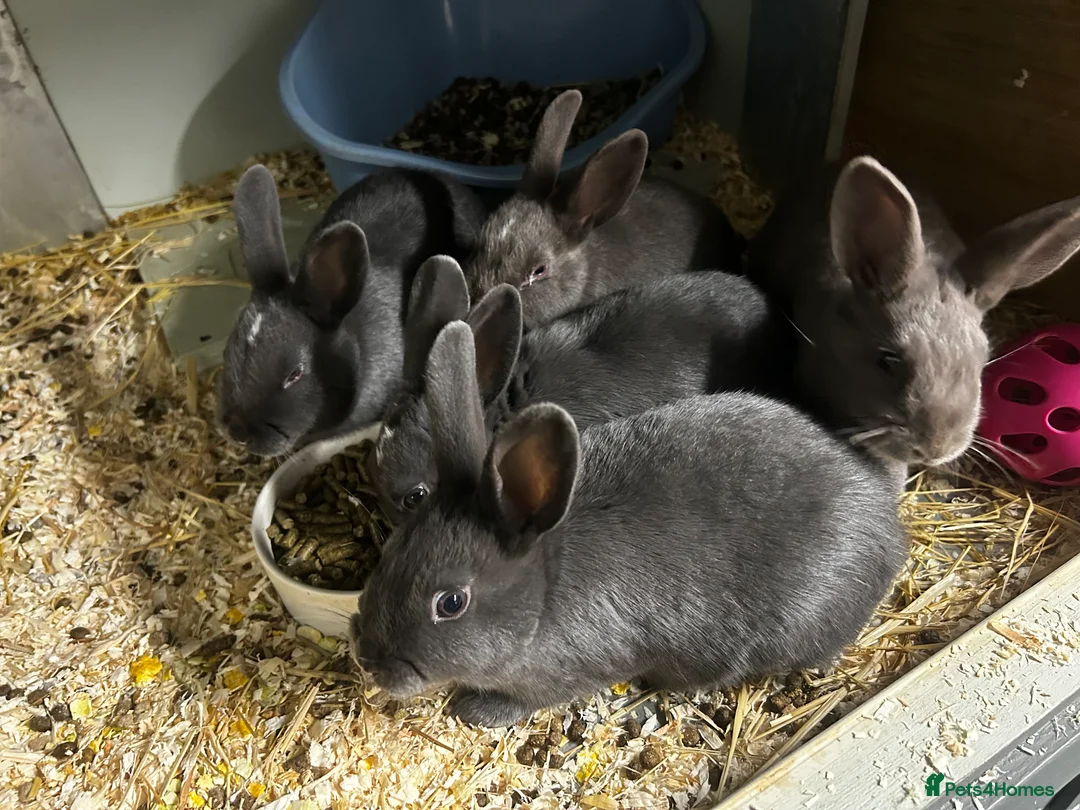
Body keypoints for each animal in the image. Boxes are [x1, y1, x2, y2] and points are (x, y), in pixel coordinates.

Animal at [351, 321, 906, 727]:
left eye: (450, 603)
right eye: (393, 550)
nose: (369, 660)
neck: (542, 595)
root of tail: (889, 526)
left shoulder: (570, 671)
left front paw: (475, 711)